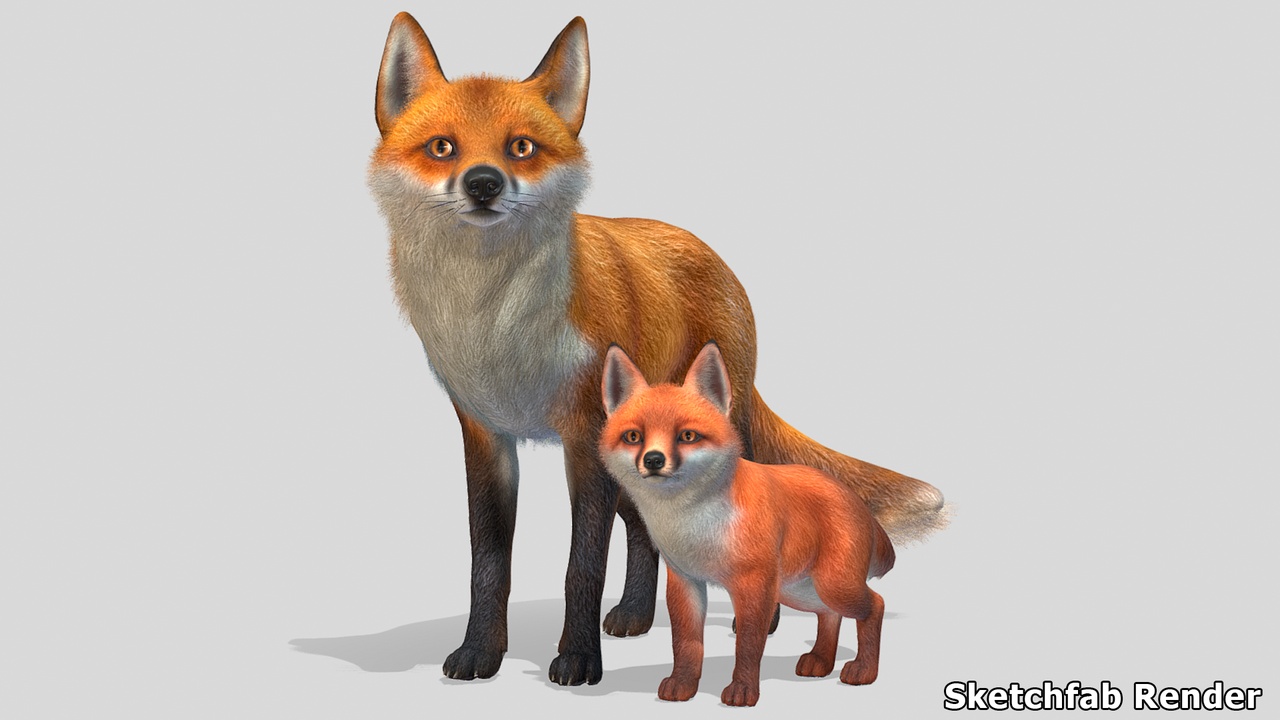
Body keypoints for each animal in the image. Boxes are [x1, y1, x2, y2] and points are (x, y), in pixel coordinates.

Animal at [599, 342, 896, 706]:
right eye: (633, 436)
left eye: (687, 436)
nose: (653, 460)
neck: (696, 526)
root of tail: (853, 498)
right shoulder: (685, 581)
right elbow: (686, 644)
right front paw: (683, 685)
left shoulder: (755, 585)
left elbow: (749, 646)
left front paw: (742, 690)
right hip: (801, 591)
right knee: (829, 615)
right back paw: (821, 661)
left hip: (833, 585)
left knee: (875, 605)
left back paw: (864, 670)